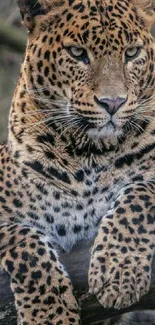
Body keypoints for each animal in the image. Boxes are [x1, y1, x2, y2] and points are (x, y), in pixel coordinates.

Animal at [0, 0, 155, 322]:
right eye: (77, 53)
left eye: (131, 53)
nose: (113, 103)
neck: (89, 153)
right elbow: (25, 246)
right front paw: (48, 315)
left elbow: (138, 197)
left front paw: (118, 272)